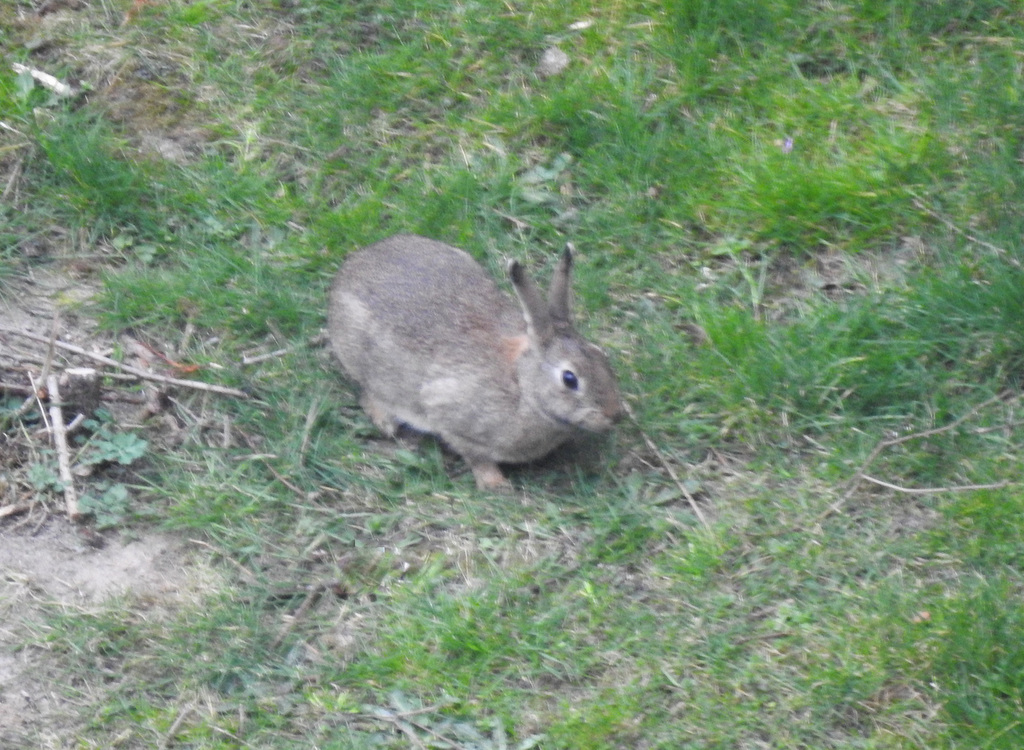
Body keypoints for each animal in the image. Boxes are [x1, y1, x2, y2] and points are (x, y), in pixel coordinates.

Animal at [327, 235, 622, 491]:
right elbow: (475, 456)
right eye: (569, 378)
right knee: (368, 392)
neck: (522, 385)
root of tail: (350, 267)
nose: (614, 415)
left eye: (601, 355)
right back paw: (386, 423)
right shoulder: (450, 415)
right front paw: (495, 484)